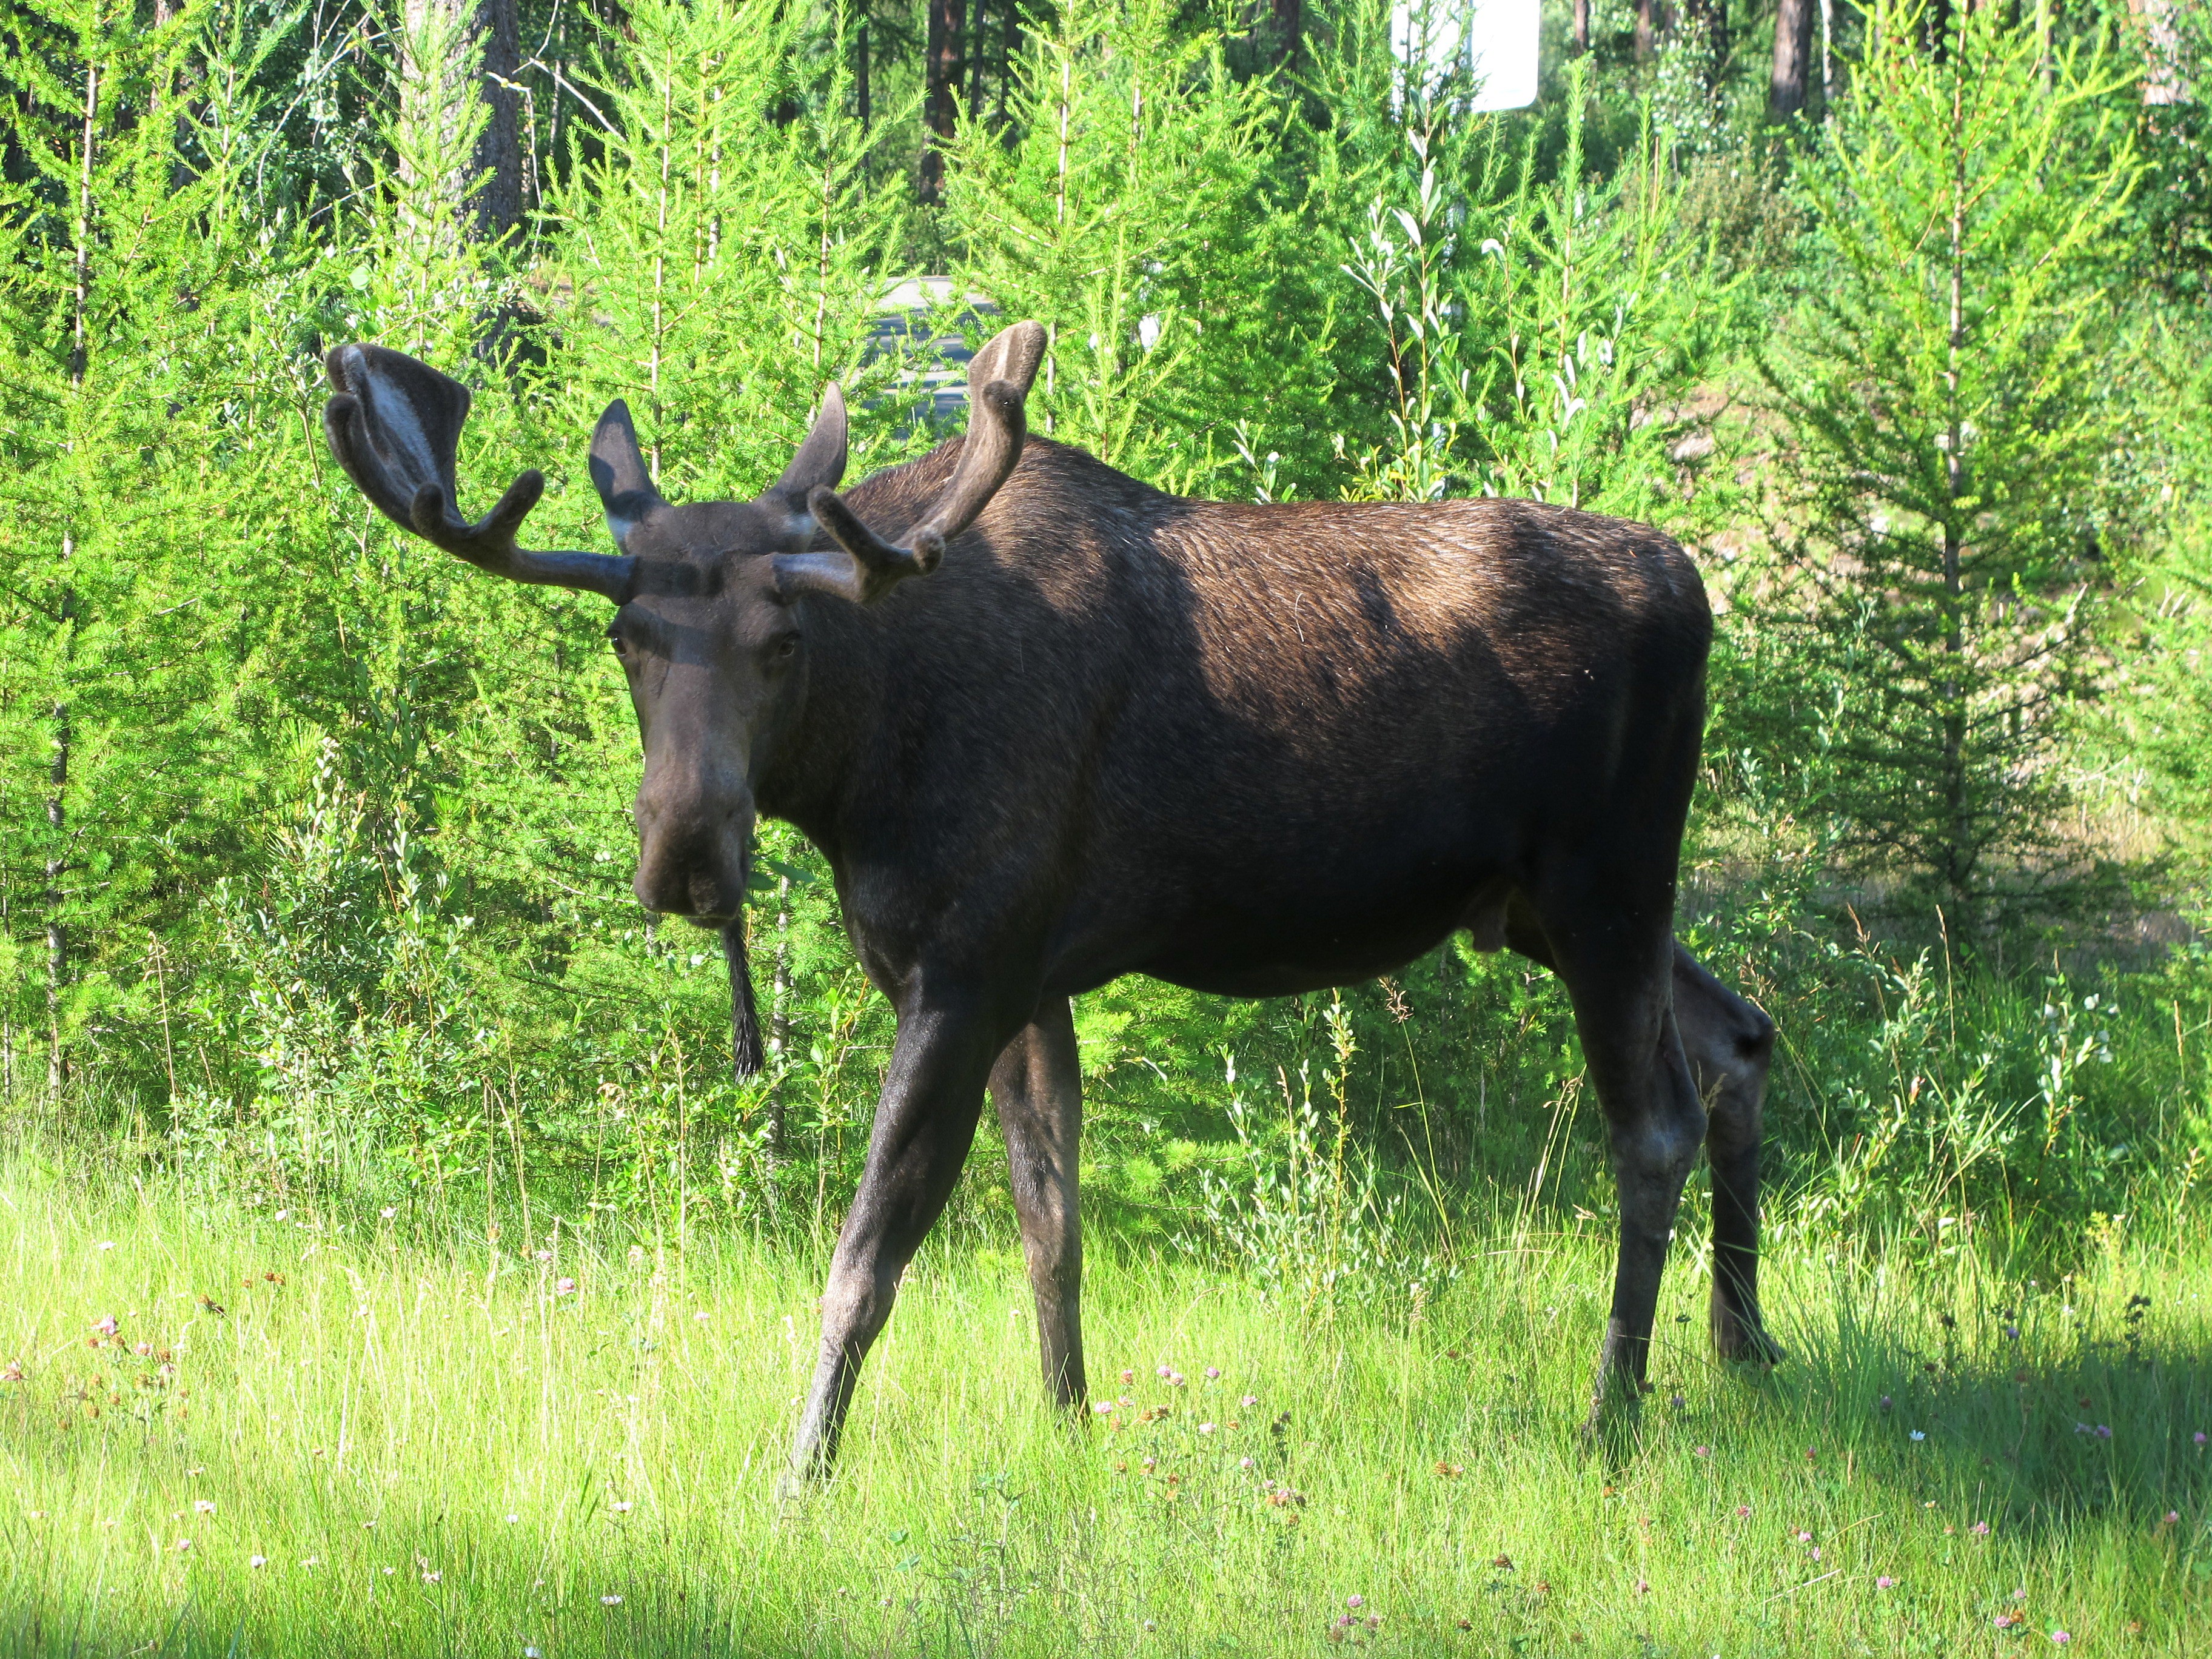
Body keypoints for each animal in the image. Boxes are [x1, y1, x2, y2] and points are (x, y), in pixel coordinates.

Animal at [321, 318, 1781, 1490]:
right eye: (628, 638)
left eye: (784, 644)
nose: (685, 851)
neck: (863, 763)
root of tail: (1697, 587)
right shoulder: (1029, 978)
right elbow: (1051, 1225)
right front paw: (1069, 1426)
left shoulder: (966, 969)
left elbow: (867, 1258)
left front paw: (802, 1474)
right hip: (1547, 906)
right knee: (1740, 1037)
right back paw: (1742, 1344)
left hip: (1606, 884)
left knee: (1650, 1122)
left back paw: (1613, 1413)